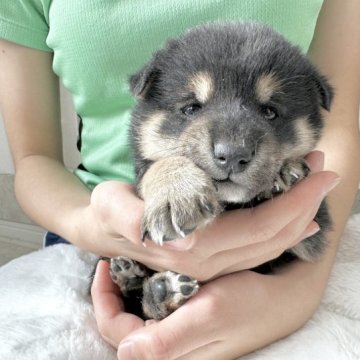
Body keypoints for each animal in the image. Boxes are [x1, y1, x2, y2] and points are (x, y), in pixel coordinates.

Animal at [108, 22, 334, 320]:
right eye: (191, 108)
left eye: (270, 112)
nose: (233, 155)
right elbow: (159, 164)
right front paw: (177, 194)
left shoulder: (313, 231)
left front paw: (284, 172)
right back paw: (145, 284)